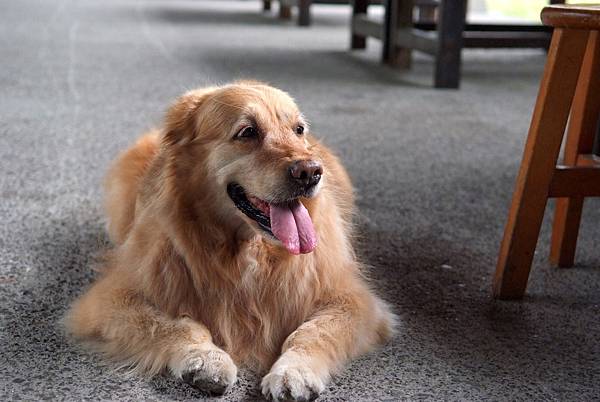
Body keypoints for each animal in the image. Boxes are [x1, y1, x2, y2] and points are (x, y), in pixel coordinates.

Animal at [65, 81, 396, 398]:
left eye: (298, 129)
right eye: (247, 132)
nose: (311, 172)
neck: (248, 252)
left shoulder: (353, 300)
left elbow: (312, 331)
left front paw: (293, 371)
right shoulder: (110, 298)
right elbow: (173, 325)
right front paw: (205, 358)